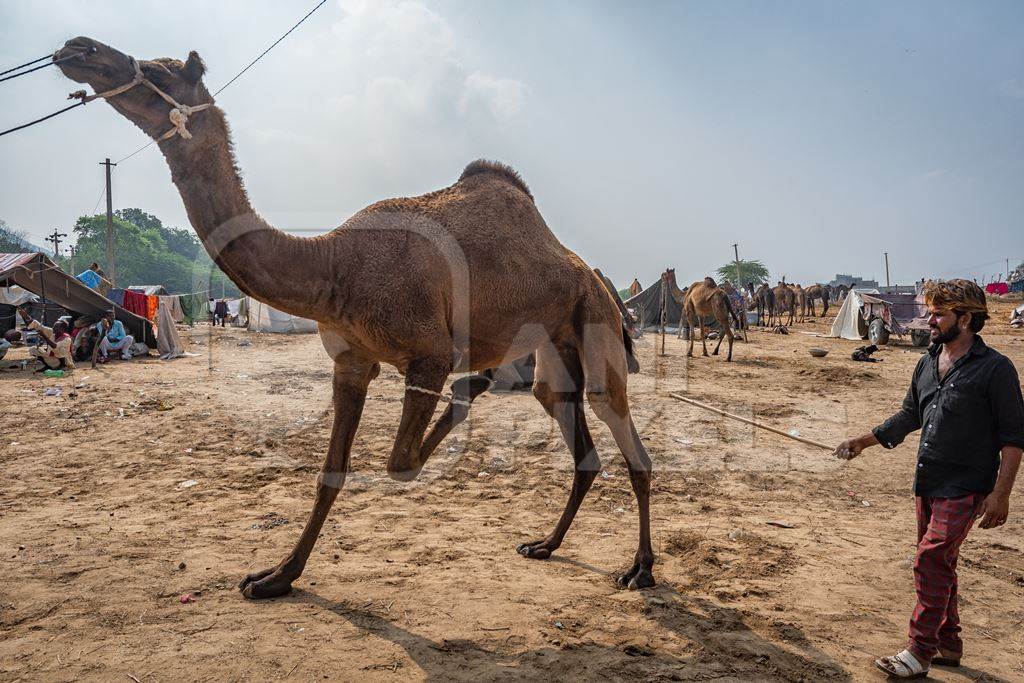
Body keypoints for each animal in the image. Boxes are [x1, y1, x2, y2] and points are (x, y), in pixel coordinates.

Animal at [58, 40, 655, 602]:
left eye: (161, 71)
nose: (78, 49)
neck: (333, 265)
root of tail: (590, 273)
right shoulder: (350, 360)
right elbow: (330, 472)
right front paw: (276, 577)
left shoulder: (429, 353)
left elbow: (401, 463)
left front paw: (471, 385)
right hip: (555, 351)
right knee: (568, 424)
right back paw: (545, 544)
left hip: (596, 318)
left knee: (617, 421)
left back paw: (641, 569)